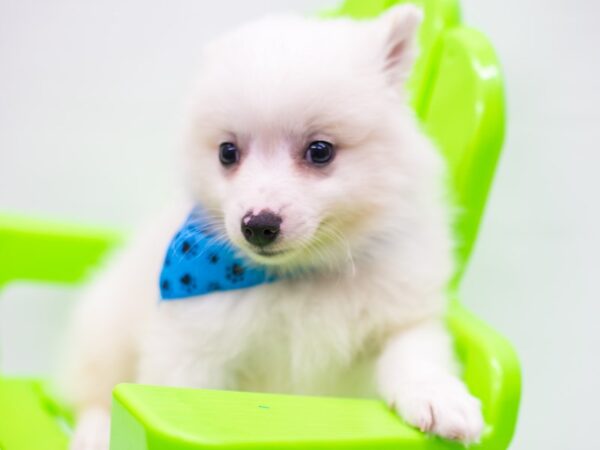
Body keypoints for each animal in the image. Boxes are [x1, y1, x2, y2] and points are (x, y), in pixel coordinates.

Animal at [65, 5, 486, 448]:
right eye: (227, 153)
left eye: (320, 151)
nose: (258, 225)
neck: (299, 276)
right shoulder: (191, 348)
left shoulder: (404, 313)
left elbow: (415, 352)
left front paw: (440, 397)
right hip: (103, 331)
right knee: (92, 397)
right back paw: (94, 433)